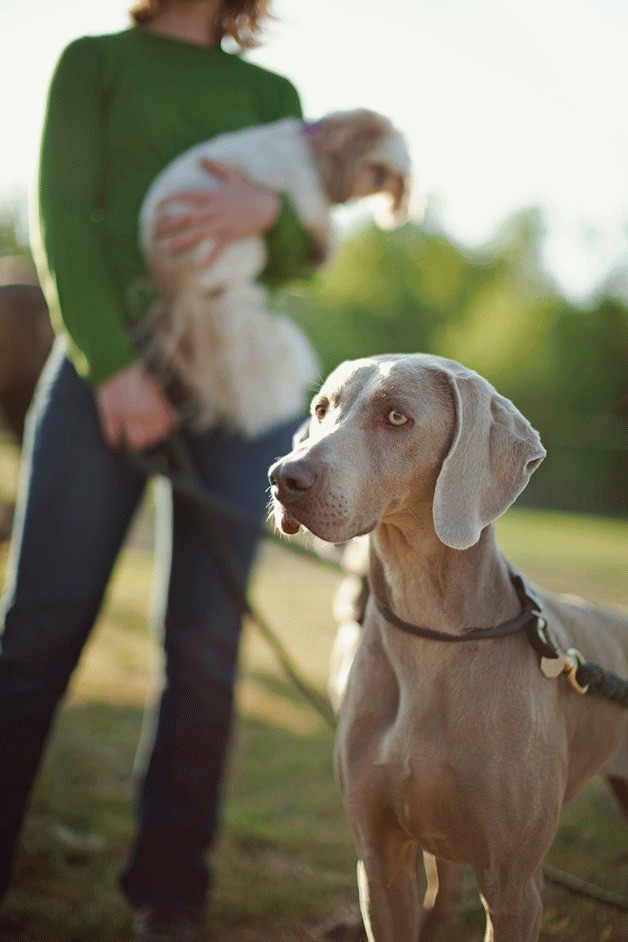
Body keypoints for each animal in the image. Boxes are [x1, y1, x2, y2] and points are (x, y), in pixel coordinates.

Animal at [139, 111, 410, 438]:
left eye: (393, 176)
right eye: (376, 167)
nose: (382, 180)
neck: (313, 151)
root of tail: (171, 276)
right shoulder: (308, 202)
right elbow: (322, 229)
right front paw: (325, 247)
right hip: (242, 246)